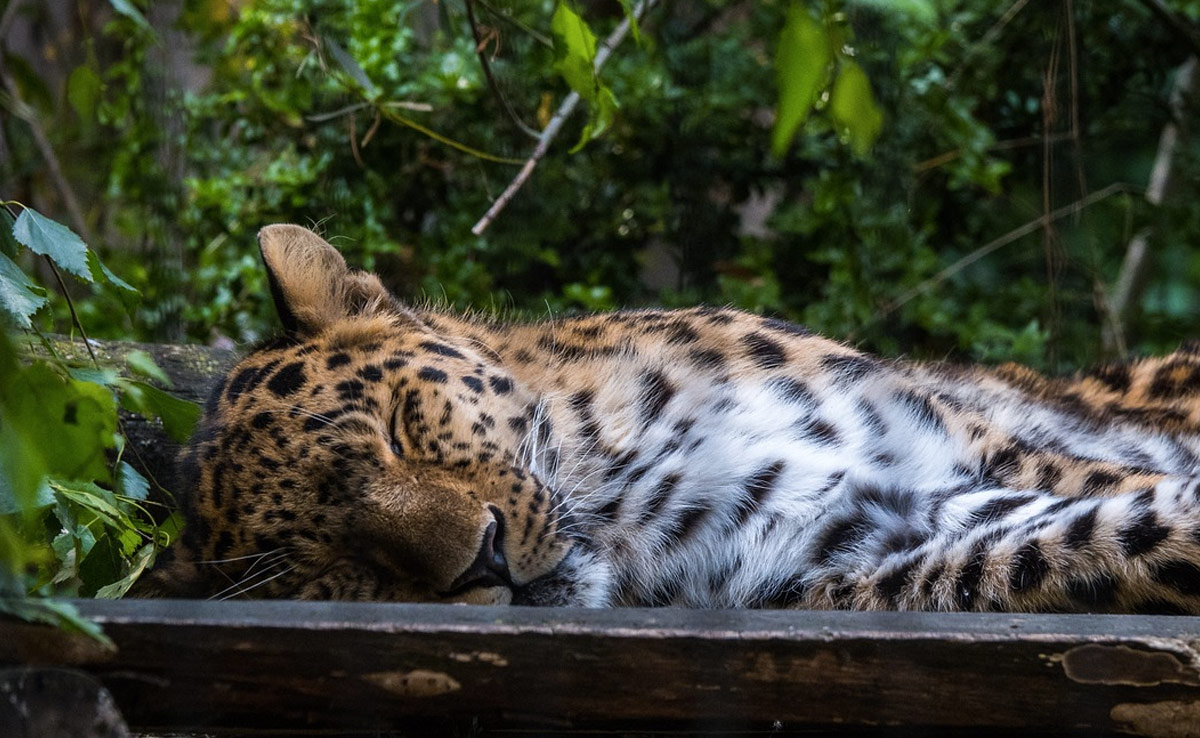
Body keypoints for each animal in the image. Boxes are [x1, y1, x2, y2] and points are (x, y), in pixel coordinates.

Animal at [137, 223, 1200, 613]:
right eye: (329, 565)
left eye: (400, 427)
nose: (481, 564)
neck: (624, 480)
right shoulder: (877, 549)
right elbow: (1111, 542)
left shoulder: (972, 452)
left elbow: (1127, 493)